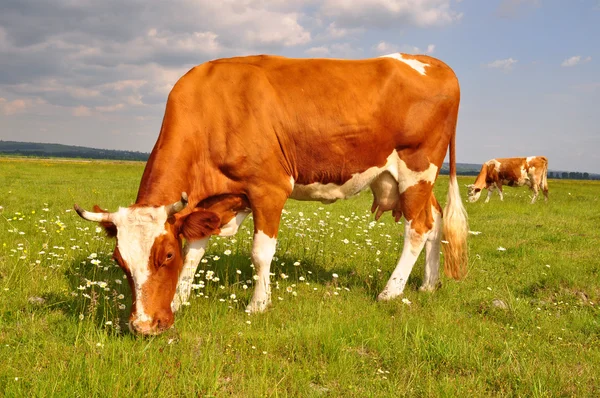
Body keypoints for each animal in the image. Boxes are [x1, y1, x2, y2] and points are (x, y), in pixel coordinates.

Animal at [74, 52, 468, 332]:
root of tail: (434, 63)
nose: (144, 326)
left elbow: (260, 252)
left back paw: (391, 291)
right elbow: (195, 251)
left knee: (417, 229)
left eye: (165, 255)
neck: (212, 109)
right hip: (410, 179)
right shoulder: (214, 200)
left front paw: (257, 305)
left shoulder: (268, 189)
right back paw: (428, 285)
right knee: (433, 222)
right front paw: (180, 300)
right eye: (119, 261)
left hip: (417, 168)